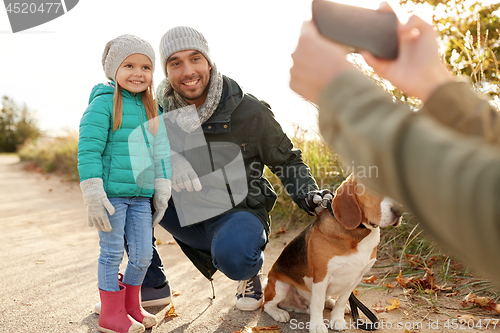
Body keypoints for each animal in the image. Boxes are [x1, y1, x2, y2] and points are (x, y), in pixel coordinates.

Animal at [264, 175, 400, 330]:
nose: (400, 210)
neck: (358, 234)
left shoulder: (356, 278)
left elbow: (341, 301)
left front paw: (337, 319)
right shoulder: (321, 275)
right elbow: (317, 304)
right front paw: (317, 326)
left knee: (327, 300)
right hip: (280, 286)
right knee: (266, 304)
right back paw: (278, 313)